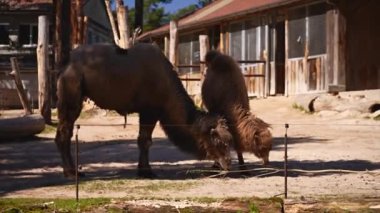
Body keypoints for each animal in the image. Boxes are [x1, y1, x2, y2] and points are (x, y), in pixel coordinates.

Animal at [53, 43, 232, 178]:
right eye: (216, 138)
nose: (227, 162)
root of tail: (66, 63)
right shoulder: (149, 111)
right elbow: (145, 140)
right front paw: (146, 171)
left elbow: (143, 140)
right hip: (72, 90)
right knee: (64, 132)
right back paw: (72, 172)